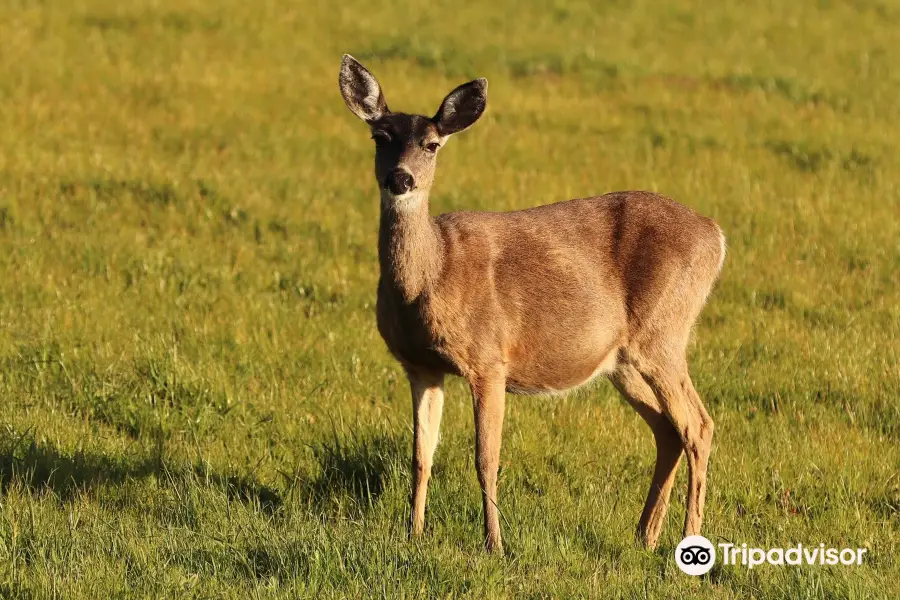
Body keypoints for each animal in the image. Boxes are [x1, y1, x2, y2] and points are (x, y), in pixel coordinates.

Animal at [338, 54, 724, 556]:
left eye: (432, 144)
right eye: (379, 137)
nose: (400, 179)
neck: (430, 276)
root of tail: (715, 235)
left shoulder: (488, 358)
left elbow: (486, 458)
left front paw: (494, 545)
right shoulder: (419, 365)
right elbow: (421, 455)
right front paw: (413, 533)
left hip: (664, 331)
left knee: (698, 425)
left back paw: (687, 539)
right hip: (621, 360)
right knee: (668, 430)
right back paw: (644, 536)